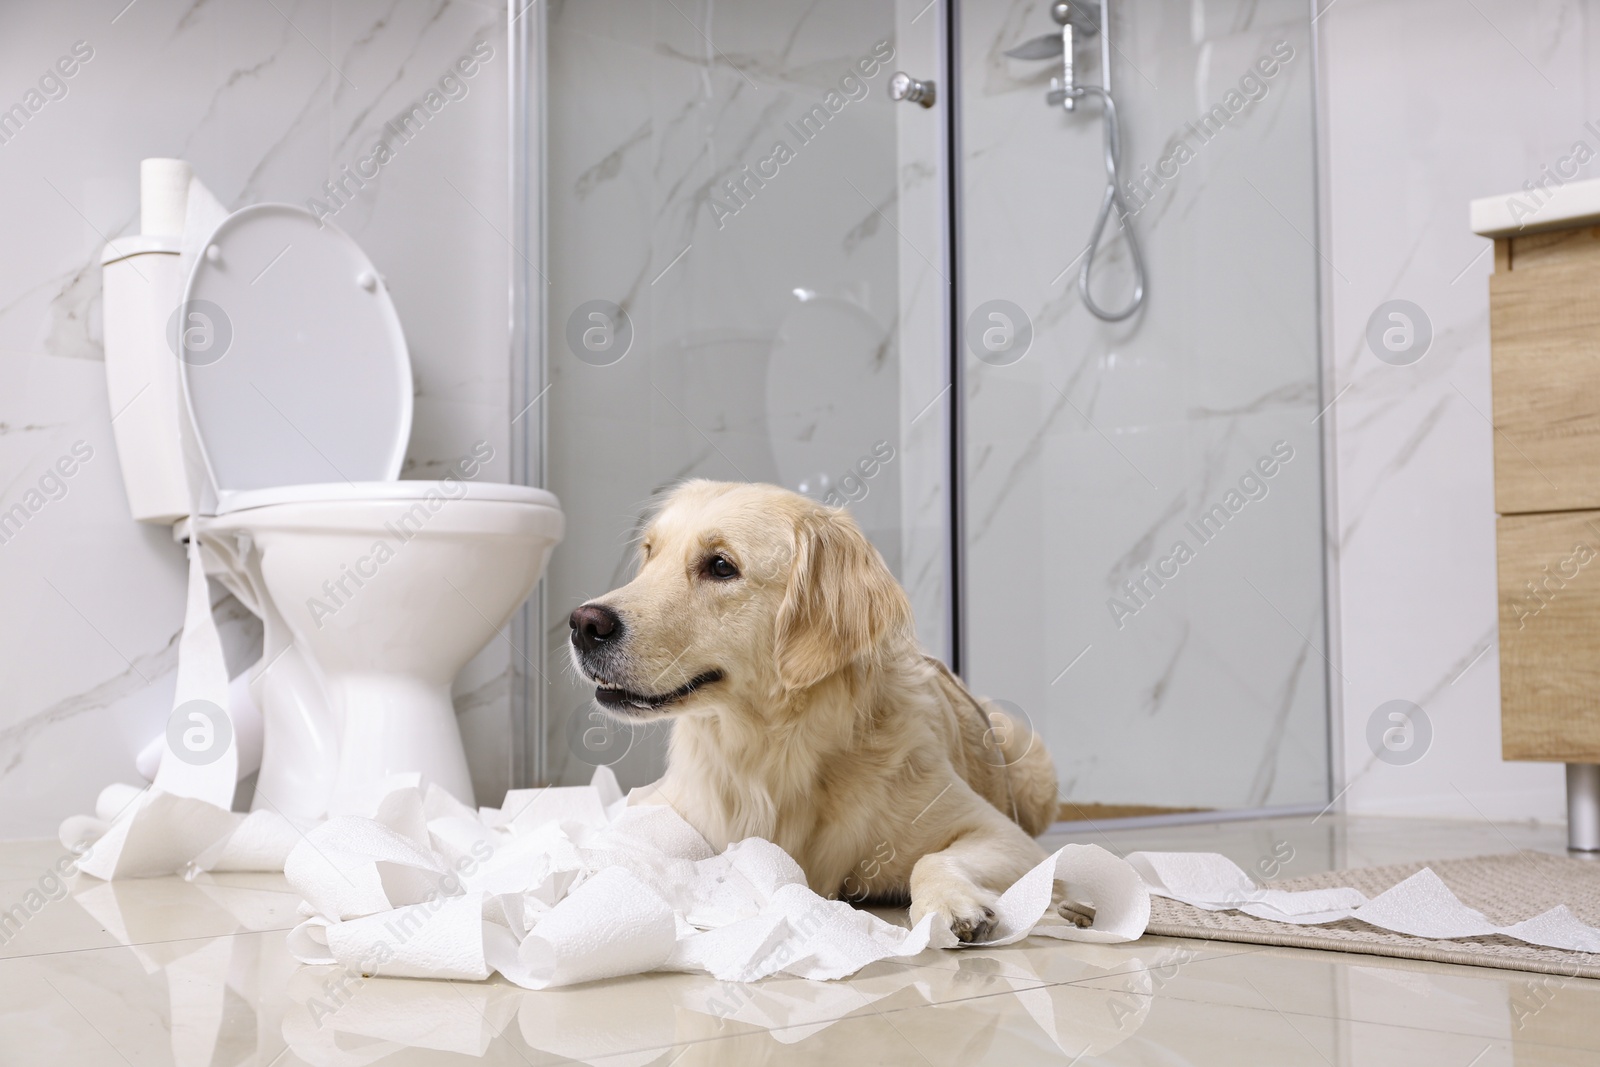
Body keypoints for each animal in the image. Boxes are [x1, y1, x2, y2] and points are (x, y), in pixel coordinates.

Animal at [569, 479, 1056, 940]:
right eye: (650, 554)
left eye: (721, 566)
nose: (583, 624)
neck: (772, 748)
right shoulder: (664, 809)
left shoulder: (1003, 834)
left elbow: (933, 858)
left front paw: (952, 903)